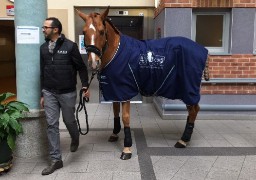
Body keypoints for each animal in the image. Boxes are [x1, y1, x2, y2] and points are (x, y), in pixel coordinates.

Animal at [77, 6, 209, 160]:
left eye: (102, 31)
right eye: (84, 32)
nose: (93, 63)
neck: (116, 52)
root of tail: (203, 50)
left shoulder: (125, 91)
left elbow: (125, 117)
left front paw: (127, 148)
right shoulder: (115, 89)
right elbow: (115, 112)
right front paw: (115, 133)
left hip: (188, 88)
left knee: (193, 110)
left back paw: (183, 140)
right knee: (193, 109)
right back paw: (185, 138)